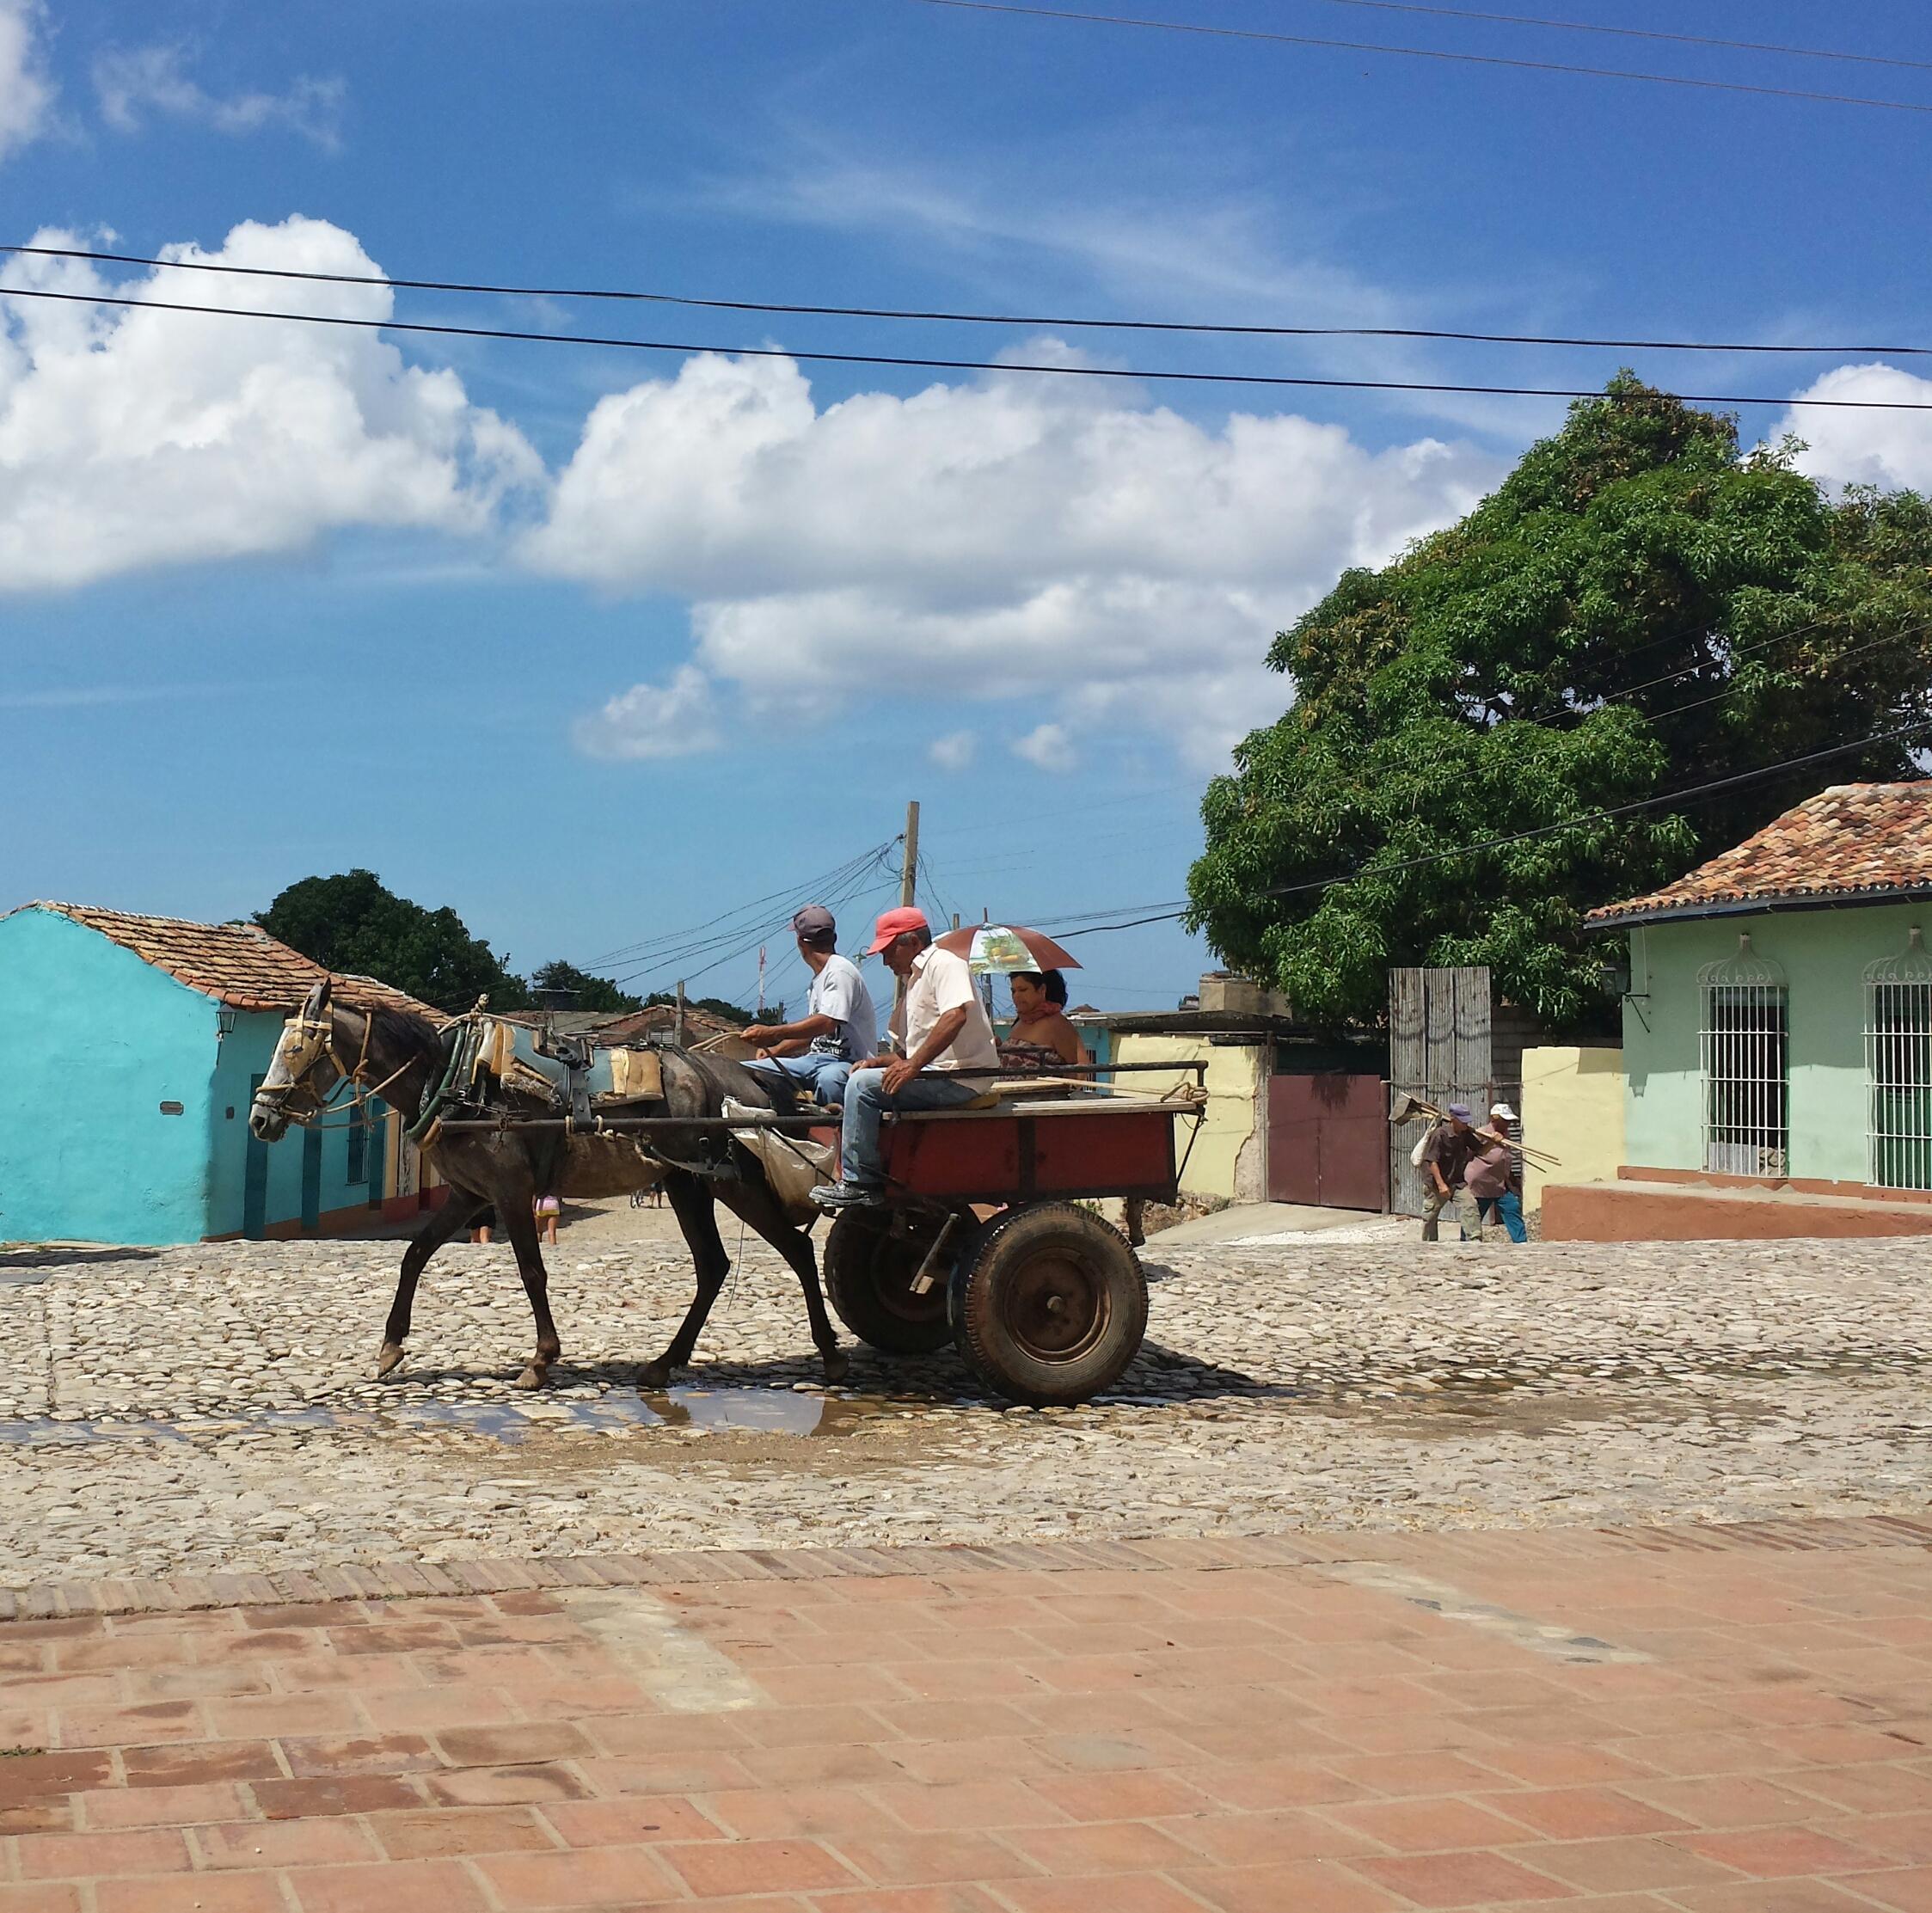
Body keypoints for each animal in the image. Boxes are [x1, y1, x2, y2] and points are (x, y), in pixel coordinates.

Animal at [247, 989, 846, 1391]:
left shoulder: (511, 1192)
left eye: (299, 1048)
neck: (457, 1079)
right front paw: (390, 1348)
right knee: (714, 1265)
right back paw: (664, 1362)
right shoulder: (470, 1196)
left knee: (793, 1249)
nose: (260, 1118)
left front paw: (540, 1361)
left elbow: (531, 1272)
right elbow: (414, 1255)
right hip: (688, 1182)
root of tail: (750, 1077)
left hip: (734, 1183)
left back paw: (830, 1355)